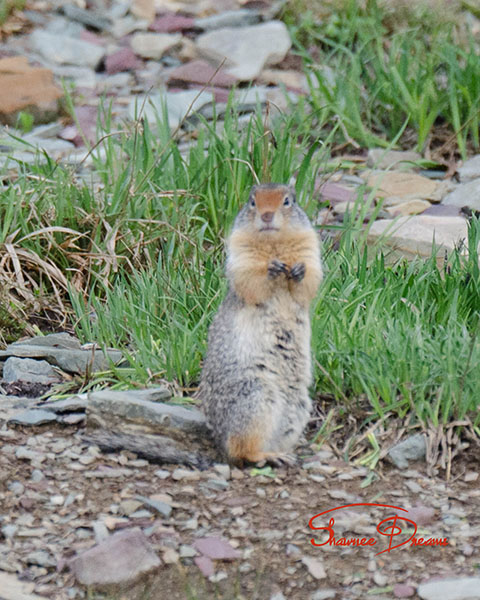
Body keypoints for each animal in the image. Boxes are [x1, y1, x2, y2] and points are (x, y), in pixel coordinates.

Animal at [199, 183, 322, 464]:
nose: (267, 215)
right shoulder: (240, 255)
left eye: (288, 201)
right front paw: (270, 269)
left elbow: (310, 279)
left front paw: (299, 271)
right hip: (255, 397)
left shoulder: (310, 249)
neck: (274, 246)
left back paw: (283, 452)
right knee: (240, 449)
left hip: (297, 407)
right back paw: (269, 456)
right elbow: (251, 281)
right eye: (252, 201)